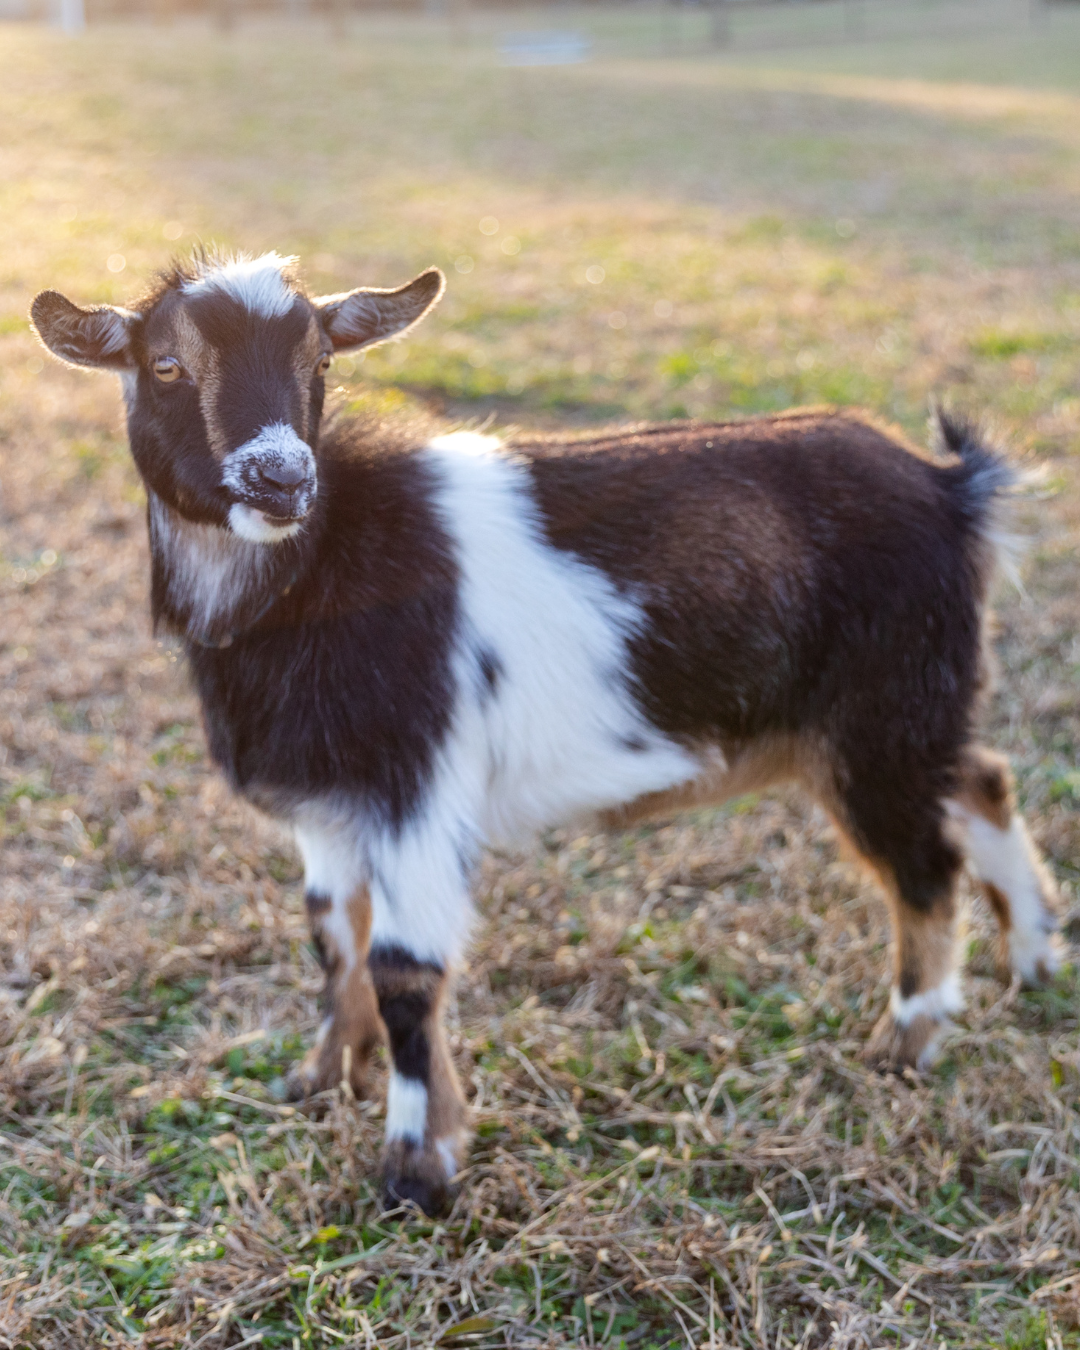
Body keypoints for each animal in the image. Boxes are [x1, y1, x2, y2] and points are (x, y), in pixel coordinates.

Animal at [32, 250, 1063, 1215]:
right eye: (165, 364)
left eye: (320, 358)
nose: (280, 478)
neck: (314, 574)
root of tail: (953, 488)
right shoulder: (327, 808)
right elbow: (332, 938)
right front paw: (322, 1077)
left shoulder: (417, 792)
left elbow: (405, 971)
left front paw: (418, 1167)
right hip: (913, 708)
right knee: (982, 780)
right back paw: (1035, 956)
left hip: (882, 715)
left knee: (924, 863)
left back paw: (907, 1039)